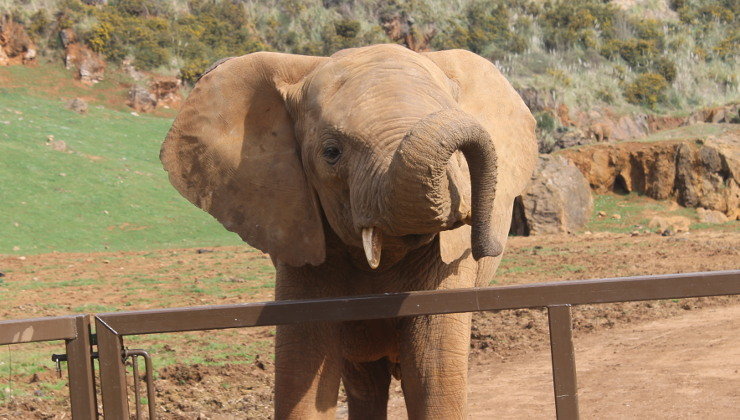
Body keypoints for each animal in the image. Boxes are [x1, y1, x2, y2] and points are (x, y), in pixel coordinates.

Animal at [160, 44, 536, 418]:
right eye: (331, 152)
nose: (486, 244)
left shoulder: (449, 264)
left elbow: (434, 376)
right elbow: (304, 370)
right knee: (363, 380)